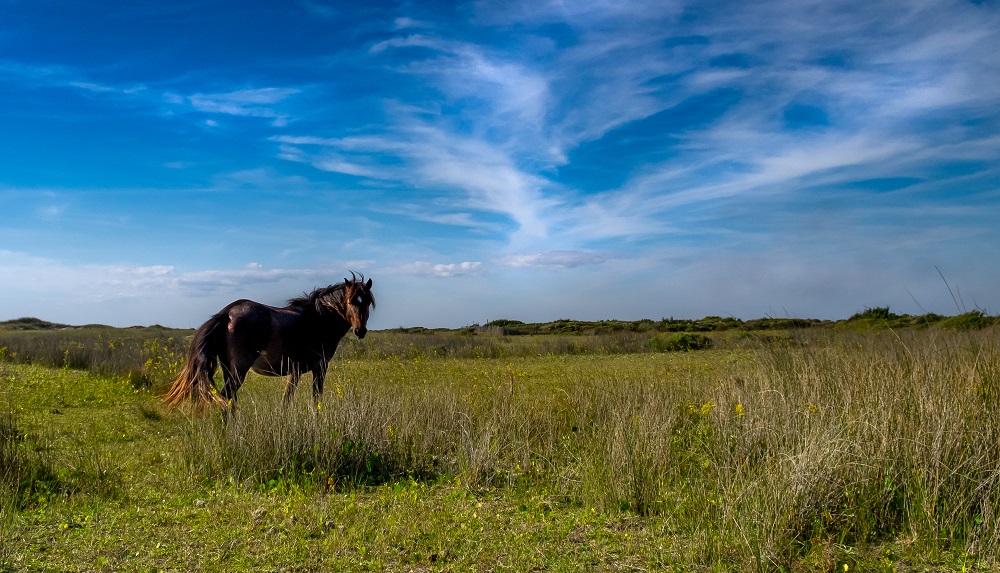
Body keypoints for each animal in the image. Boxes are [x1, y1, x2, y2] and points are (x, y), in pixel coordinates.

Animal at [164, 272, 376, 412]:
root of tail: (226, 313)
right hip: (238, 371)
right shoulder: (320, 367)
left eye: (366, 302)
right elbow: (316, 398)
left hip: (228, 370)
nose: (360, 331)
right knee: (227, 398)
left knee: (229, 400)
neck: (318, 319)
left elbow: (287, 400)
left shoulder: (295, 372)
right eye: (351, 301)